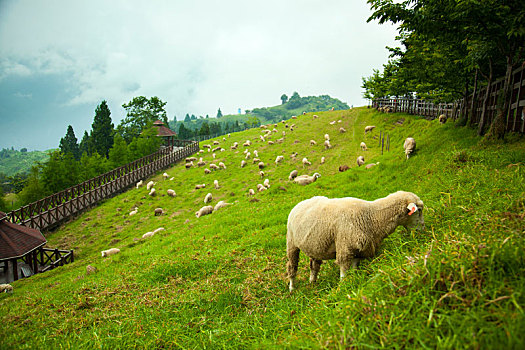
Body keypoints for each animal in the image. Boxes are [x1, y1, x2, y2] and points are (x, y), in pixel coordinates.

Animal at [284, 190, 424, 292]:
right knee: (292, 266)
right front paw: (343, 287)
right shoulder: (345, 247)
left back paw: (312, 282)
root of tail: (299, 203)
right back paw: (292, 288)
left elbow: (354, 268)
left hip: (315, 245)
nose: (423, 229)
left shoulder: (359, 249)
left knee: (314, 265)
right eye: (419, 210)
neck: (372, 216)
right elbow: (344, 271)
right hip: (291, 242)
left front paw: (355, 280)